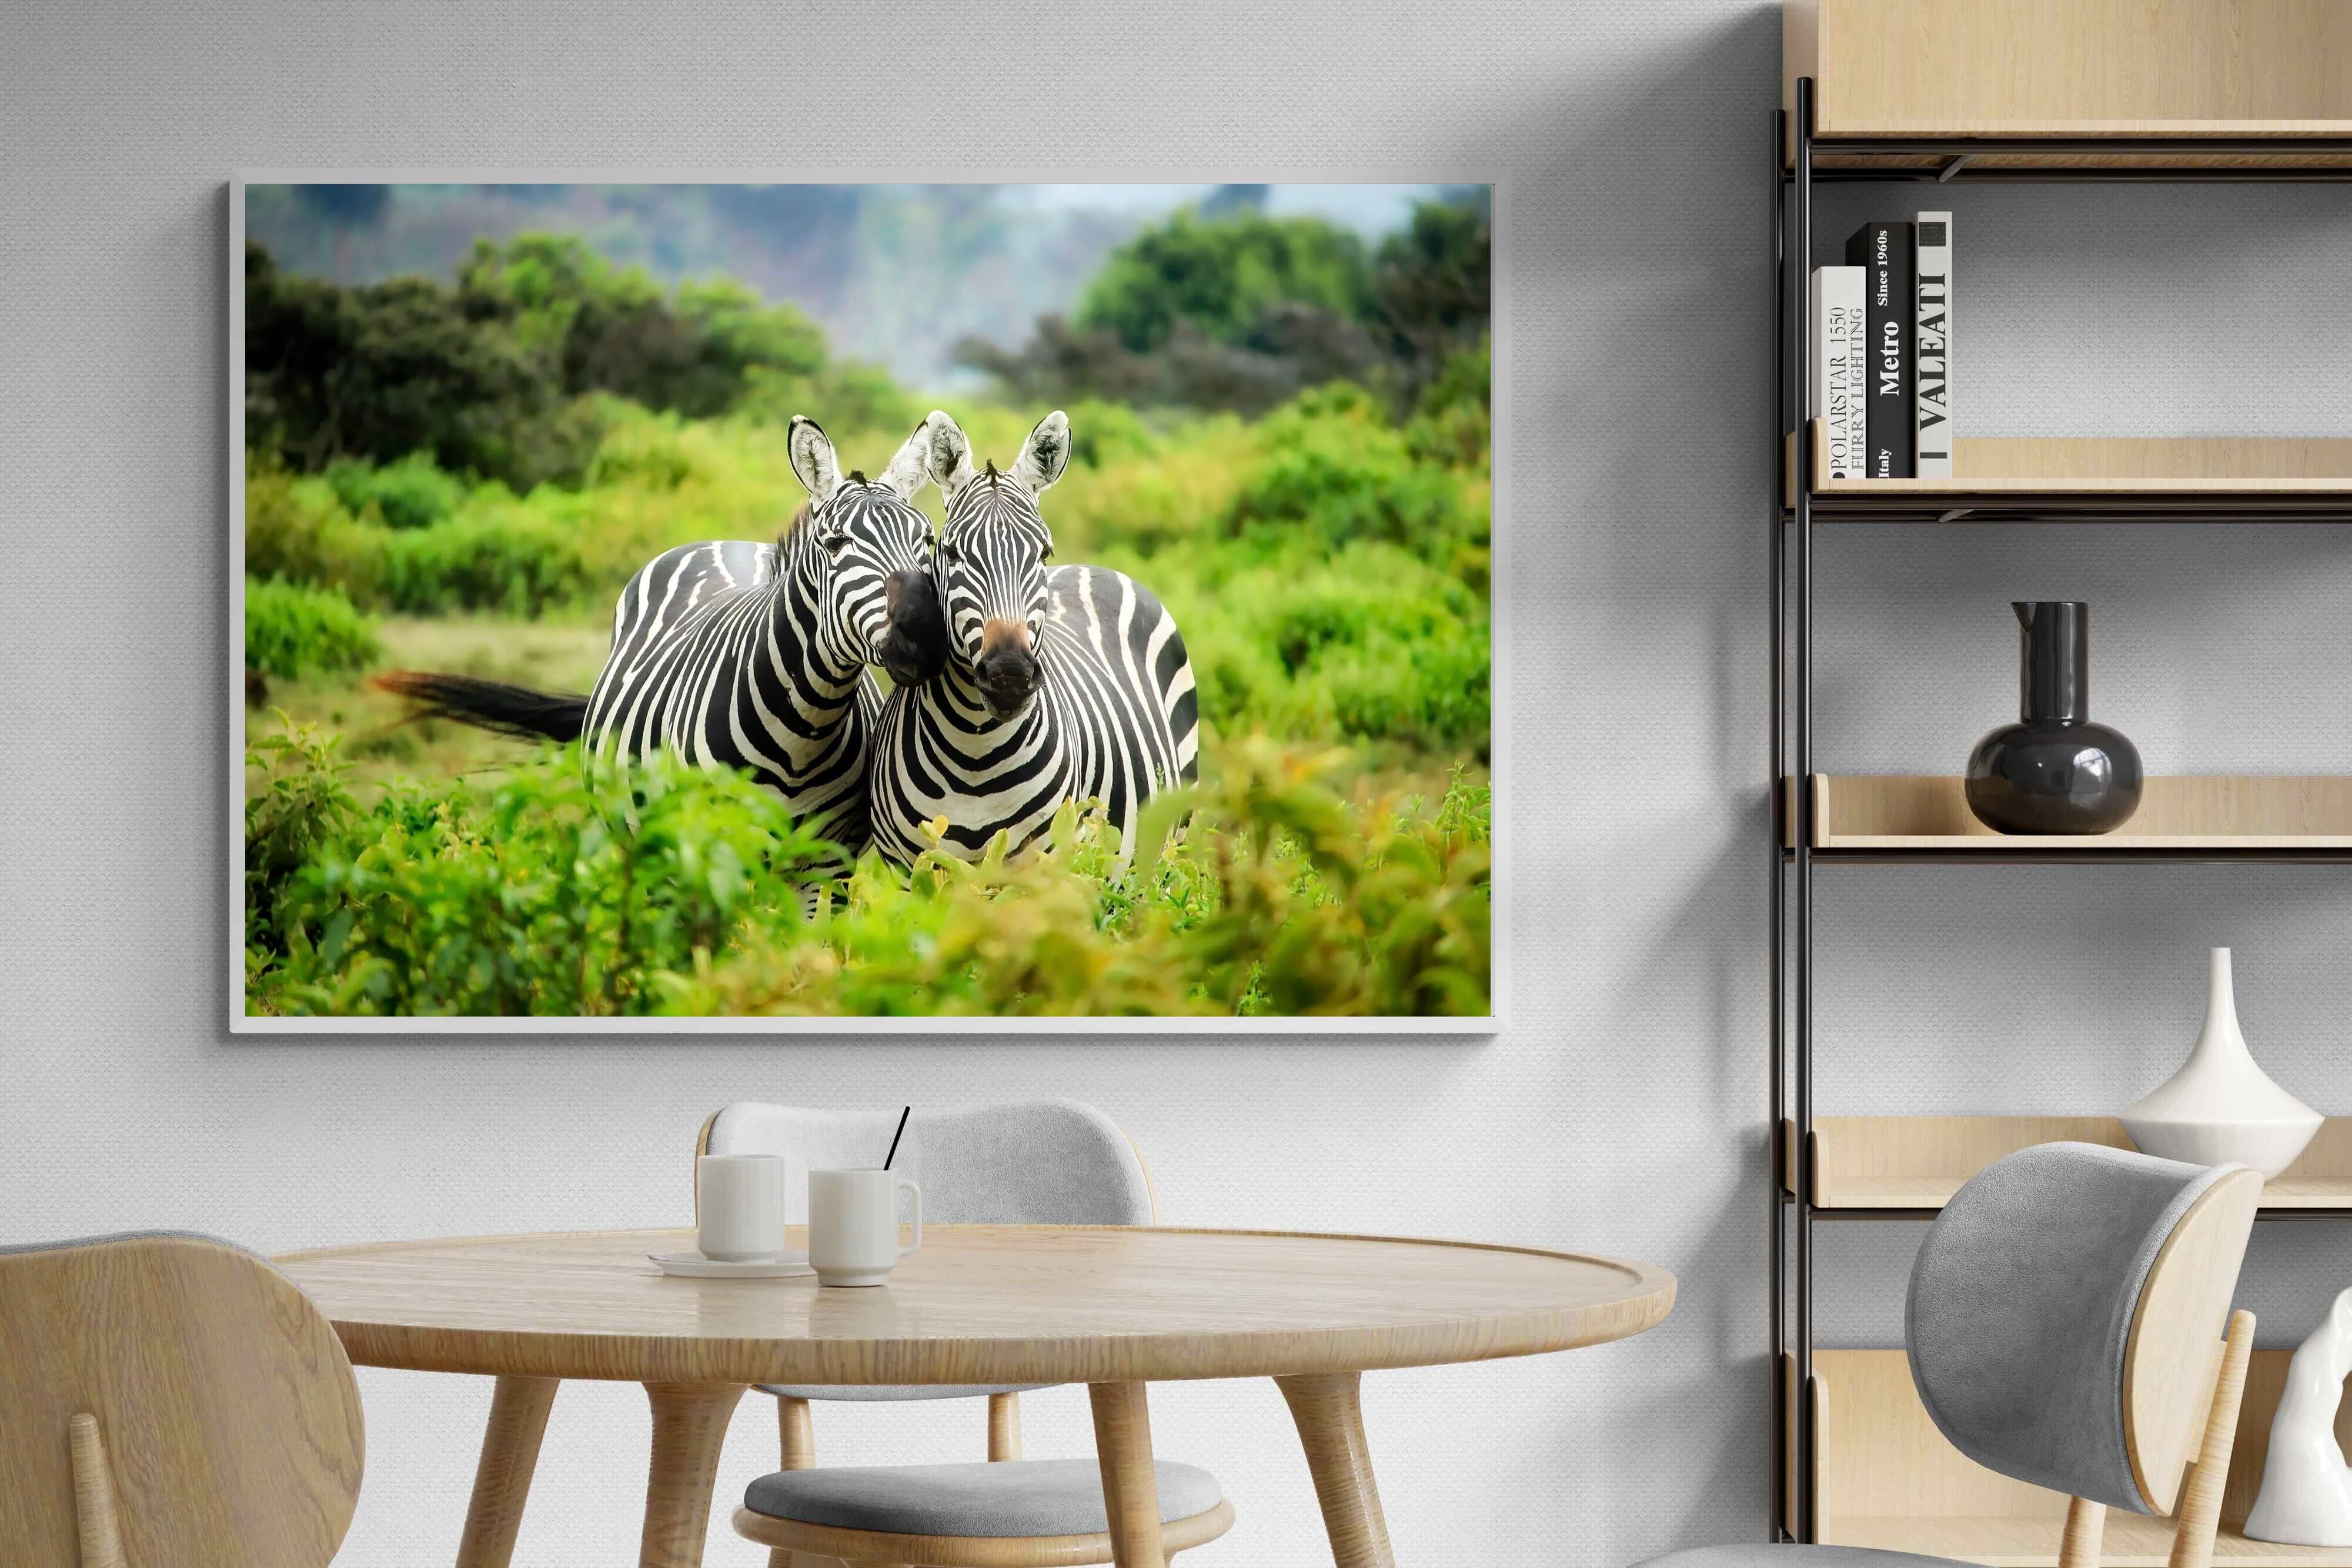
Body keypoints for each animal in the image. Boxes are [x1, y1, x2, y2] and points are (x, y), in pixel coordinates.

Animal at [375, 415, 949, 856]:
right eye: (835, 543)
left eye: (926, 539)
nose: (924, 634)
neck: (802, 731)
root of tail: (723, 542)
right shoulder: (710, 846)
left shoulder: (826, 862)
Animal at [867, 408, 1199, 868]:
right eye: (951, 553)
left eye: (1043, 553)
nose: (1009, 676)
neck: (975, 754)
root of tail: (1094, 568)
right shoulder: (910, 869)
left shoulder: (1045, 866)